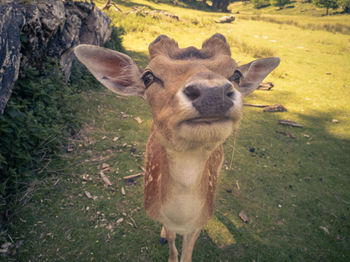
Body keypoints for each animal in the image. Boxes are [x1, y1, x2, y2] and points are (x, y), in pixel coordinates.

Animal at [75, 33, 280, 260]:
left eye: (236, 74)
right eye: (148, 77)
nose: (212, 93)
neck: (182, 218)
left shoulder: (201, 218)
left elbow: (189, 246)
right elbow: (173, 239)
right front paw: (167, 241)